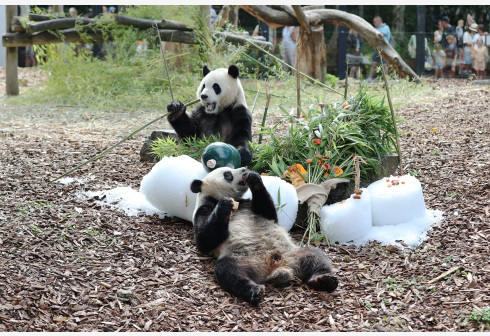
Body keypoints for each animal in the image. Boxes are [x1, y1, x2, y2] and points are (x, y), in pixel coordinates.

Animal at [189, 167, 338, 306]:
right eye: (227, 174)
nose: (244, 169)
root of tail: (276, 266)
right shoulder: (203, 210)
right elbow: (204, 239)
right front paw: (224, 207)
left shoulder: (249, 204)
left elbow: (268, 212)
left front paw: (254, 178)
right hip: (244, 259)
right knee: (228, 270)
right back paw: (254, 291)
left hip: (293, 253)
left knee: (316, 257)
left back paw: (324, 280)